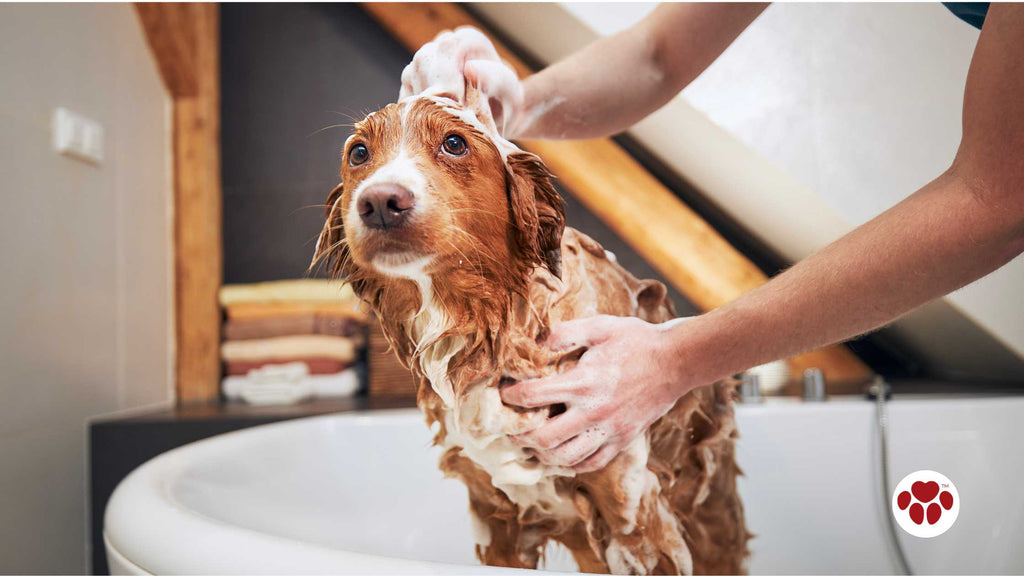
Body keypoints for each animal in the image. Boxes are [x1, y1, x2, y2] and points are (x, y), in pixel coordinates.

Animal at [307, 91, 749, 569]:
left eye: (454, 143)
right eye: (358, 153)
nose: (379, 202)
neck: (487, 328)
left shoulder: (632, 511)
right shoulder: (495, 520)